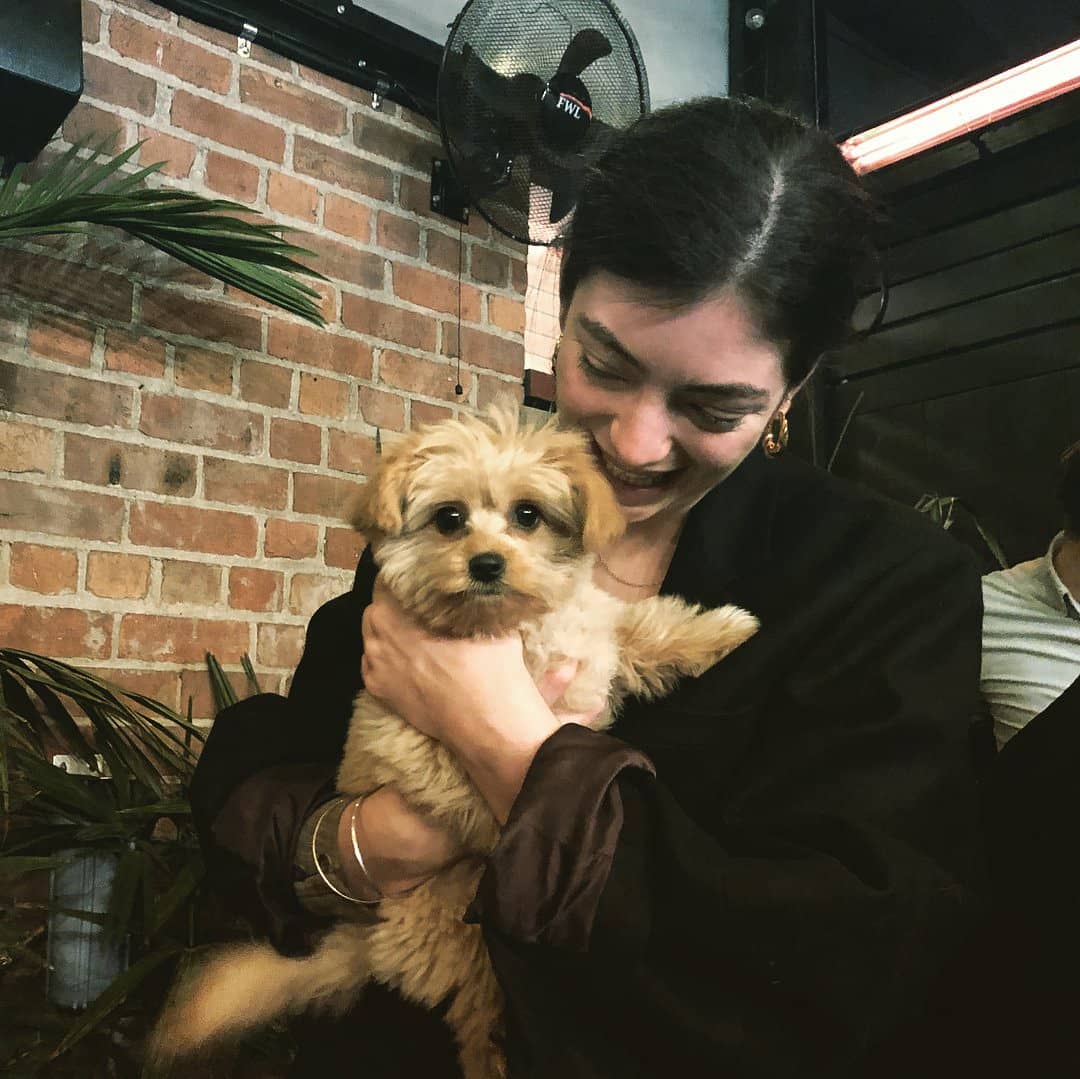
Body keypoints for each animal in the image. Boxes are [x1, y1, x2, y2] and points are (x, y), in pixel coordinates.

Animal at [150, 406, 760, 1079]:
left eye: (528, 515)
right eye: (449, 519)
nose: (486, 564)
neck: (512, 629)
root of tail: (367, 938)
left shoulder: (597, 632)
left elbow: (646, 624)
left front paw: (723, 632)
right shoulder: (429, 745)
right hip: (460, 936)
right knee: (474, 1020)